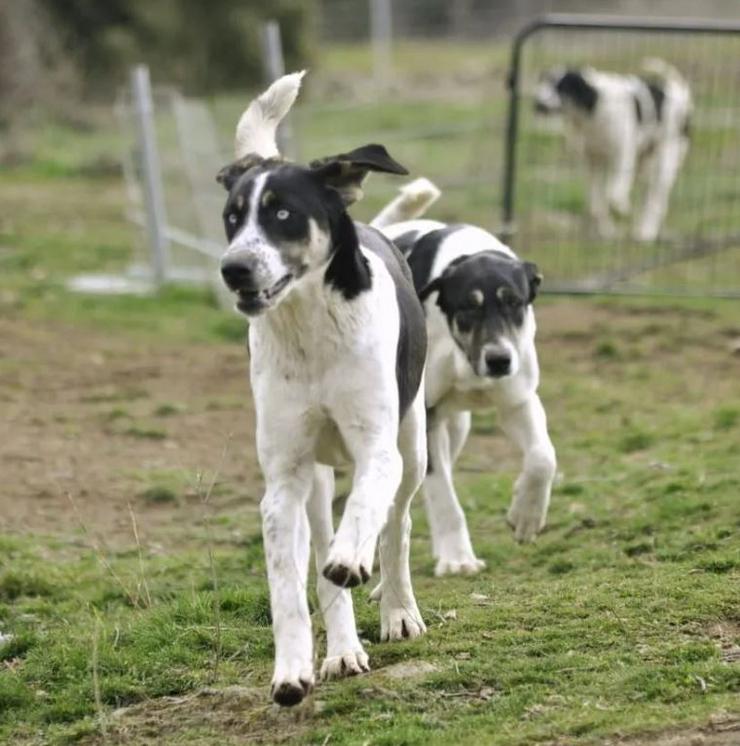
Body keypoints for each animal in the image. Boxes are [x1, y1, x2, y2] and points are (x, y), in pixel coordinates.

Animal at [217, 72, 428, 708]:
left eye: (283, 213)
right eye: (232, 219)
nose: (233, 269)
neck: (308, 327)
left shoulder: (377, 447)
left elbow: (366, 512)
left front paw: (356, 563)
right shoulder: (284, 480)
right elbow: (288, 586)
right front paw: (291, 670)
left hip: (413, 449)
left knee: (397, 526)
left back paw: (397, 610)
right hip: (314, 477)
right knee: (320, 553)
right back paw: (342, 650)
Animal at [536, 61, 692, 241]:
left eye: (562, 87)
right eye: (543, 83)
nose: (537, 104)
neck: (594, 110)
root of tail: (678, 91)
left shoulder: (623, 156)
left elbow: (613, 194)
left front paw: (621, 209)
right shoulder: (591, 162)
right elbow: (596, 202)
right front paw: (606, 230)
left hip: (665, 159)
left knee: (656, 198)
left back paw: (646, 232)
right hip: (645, 164)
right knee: (650, 195)